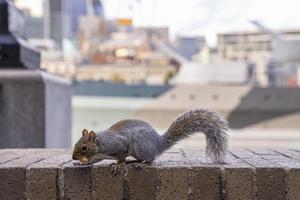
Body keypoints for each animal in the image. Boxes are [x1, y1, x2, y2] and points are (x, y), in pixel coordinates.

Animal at [72, 108, 227, 166]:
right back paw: (134, 161)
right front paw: (81, 163)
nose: (73, 157)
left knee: (151, 159)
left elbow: (121, 155)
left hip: (141, 143)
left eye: (84, 147)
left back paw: (141, 163)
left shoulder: (118, 145)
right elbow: (94, 161)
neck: (100, 144)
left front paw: (119, 164)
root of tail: (159, 143)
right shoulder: (99, 155)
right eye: (75, 144)